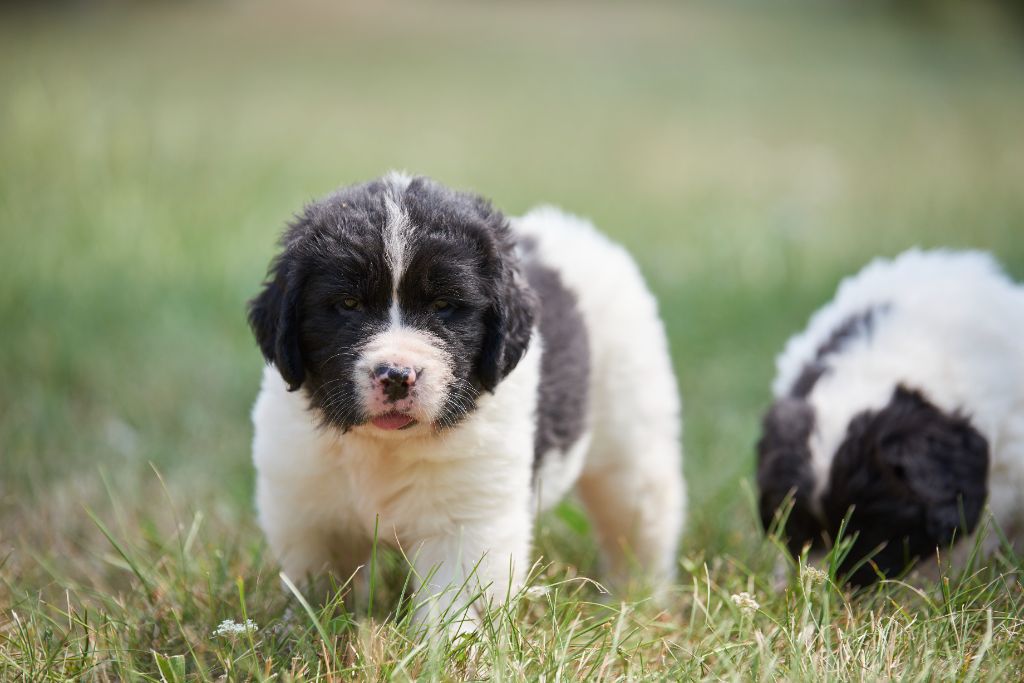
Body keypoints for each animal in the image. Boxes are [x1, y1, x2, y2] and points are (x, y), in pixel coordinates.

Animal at [245, 174, 688, 634]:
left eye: (444, 306)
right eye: (348, 304)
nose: (397, 375)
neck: (385, 449)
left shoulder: (467, 518)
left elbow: (456, 595)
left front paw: (452, 643)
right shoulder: (306, 507)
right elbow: (317, 582)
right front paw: (302, 630)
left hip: (632, 435)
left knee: (640, 521)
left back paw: (638, 601)